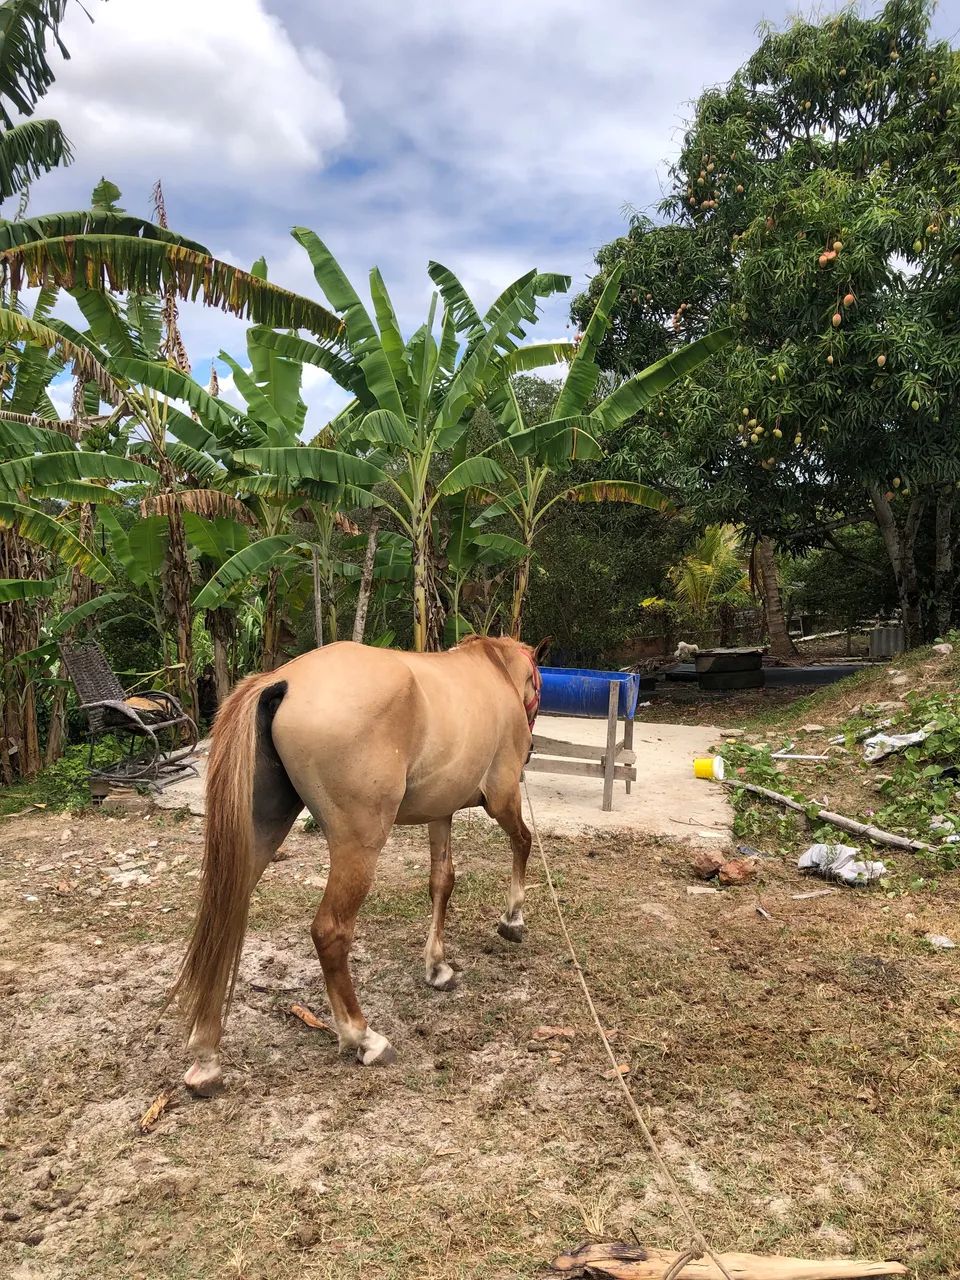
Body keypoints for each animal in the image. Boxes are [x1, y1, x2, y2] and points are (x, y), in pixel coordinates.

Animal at [168, 634, 547, 1093]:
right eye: (537, 687)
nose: (531, 752)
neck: (492, 671)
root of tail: (282, 681)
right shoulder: (503, 799)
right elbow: (523, 843)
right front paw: (513, 920)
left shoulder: (441, 813)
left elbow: (442, 882)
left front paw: (437, 967)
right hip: (359, 845)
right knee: (330, 931)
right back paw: (363, 1036)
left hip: (259, 833)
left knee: (223, 920)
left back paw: (206, 1056)